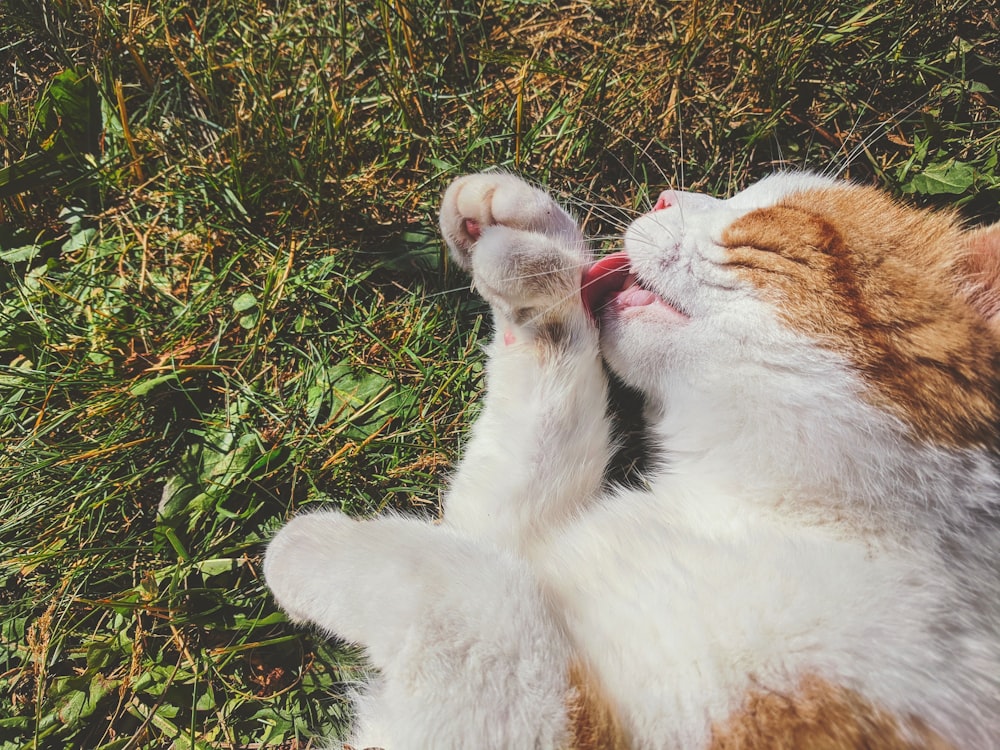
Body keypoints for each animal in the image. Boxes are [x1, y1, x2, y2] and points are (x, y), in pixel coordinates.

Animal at [264, 172, 1000, 750]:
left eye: (764, 228)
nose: (665, 196)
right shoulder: (520, 536)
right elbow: (501, 508)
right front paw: (538, 266)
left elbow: (486, 594)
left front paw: (308, 548)